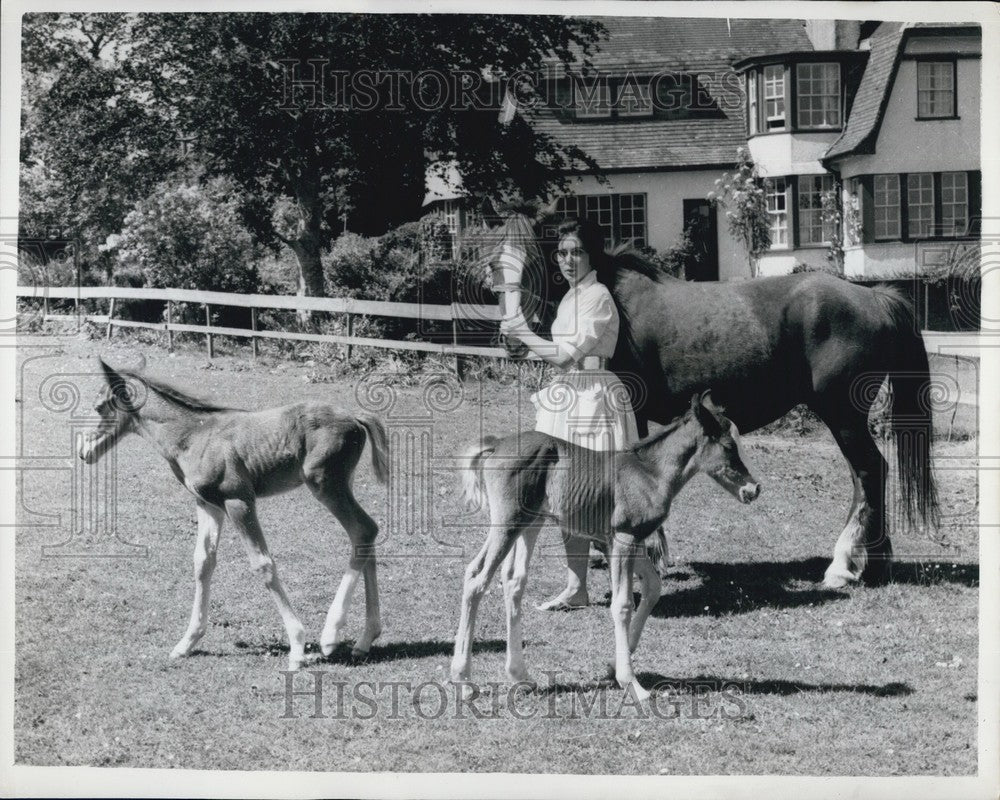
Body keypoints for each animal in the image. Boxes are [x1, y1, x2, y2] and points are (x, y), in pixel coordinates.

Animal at [78, 360, 388, 672]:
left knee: (362, 530)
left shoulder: (238, 501)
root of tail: (355, 418)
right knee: (365, 533)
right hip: (340, 485)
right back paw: (364, 640)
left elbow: (263, 564)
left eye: (99, 407)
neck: (193, 436)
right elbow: (203, 563)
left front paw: (297, 646)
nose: (84, 453)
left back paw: (331, 635)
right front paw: (187, 642)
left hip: (325, 484)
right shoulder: (208, 504)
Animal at [452, 392, 756, 700]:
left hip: (528, 524)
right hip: (509, 523)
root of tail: (497, 443)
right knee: (478, 581)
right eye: (729, 446)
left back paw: (520, 675)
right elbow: (622, 604)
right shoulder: (624, 537)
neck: (650, 473)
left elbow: (653, 588)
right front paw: (631, 683)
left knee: (507, 579)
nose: (753, 490)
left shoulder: (624, 541)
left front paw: (612, 667)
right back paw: (463, 681)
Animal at [492, 212, 936, 588]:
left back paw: (842, 567)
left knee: (868, 471)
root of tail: (873, 298)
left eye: (539, 262)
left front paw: (653, 552)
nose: (512, 339)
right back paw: (875, 563)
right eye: (498, 265)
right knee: (872, 475)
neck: (617, 300)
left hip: (842, 416)